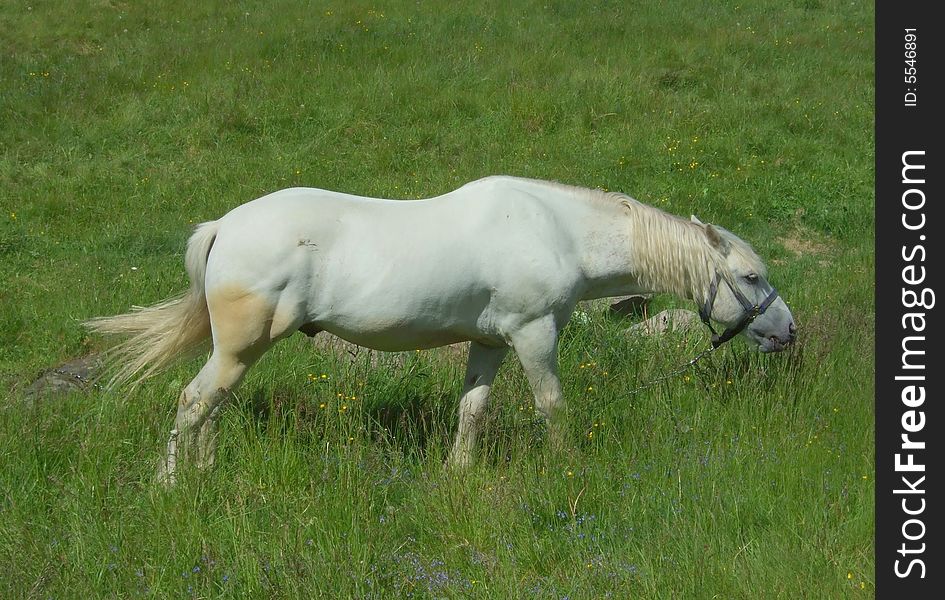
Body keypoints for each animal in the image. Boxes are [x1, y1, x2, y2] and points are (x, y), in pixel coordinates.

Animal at [86, 176, 796, 480]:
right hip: (241, 346)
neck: (557, 229)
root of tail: (225, 226)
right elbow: (552, 405)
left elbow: (472, 411)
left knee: (211, 407)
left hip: (240, 351)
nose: (787, 333)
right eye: (752, 277)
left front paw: (457, 474)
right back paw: (172, 483)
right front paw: (568, 467)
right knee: (192, 402)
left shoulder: (490, 343)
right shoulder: (535, 335)